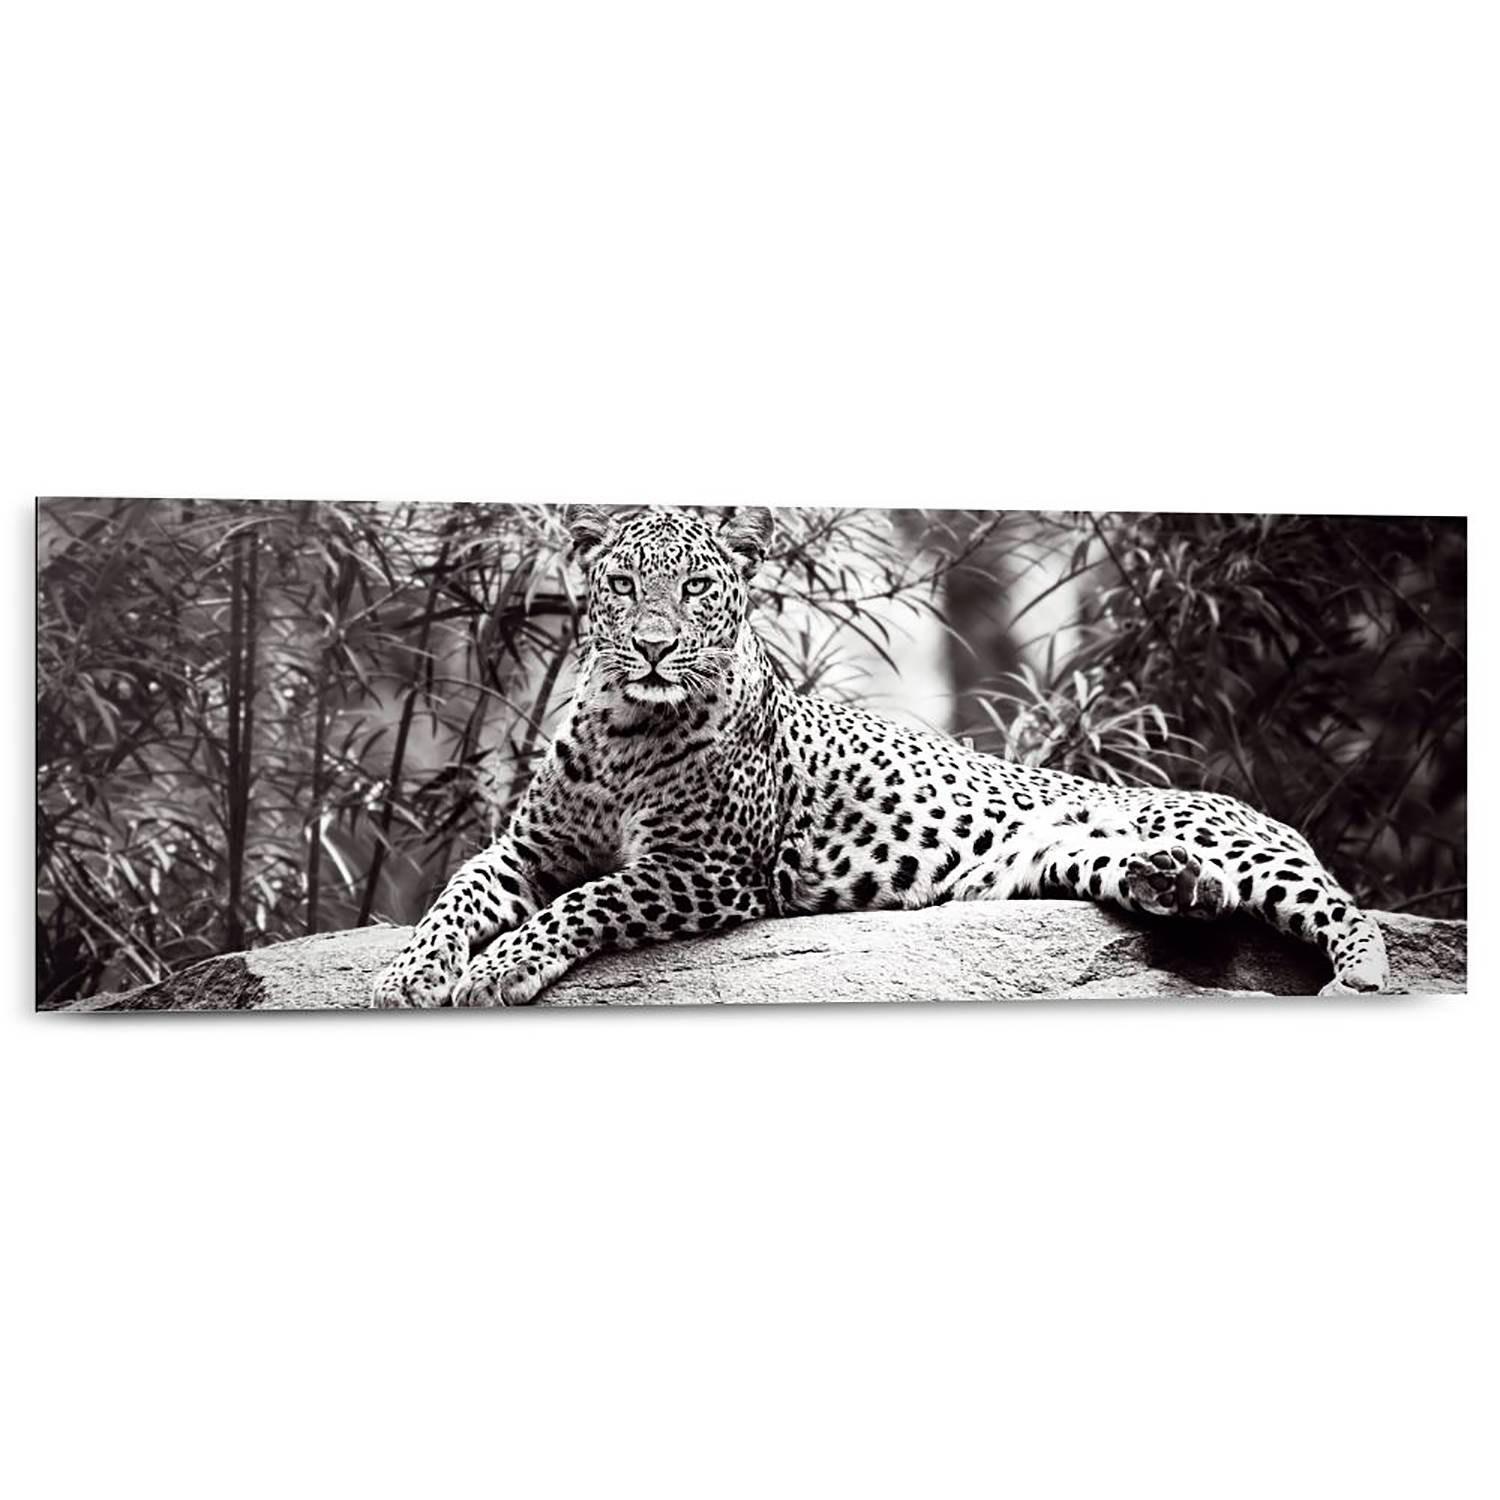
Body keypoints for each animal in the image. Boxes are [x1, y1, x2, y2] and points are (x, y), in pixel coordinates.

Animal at [370, 504, 1391, 1007]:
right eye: (621, 585)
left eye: (697, 588)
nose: (654, 647)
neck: (627, 728)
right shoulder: (527, 848)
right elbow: (460, 890)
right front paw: (409, 971)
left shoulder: (707, 871)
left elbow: (586, 902)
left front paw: (500, 966)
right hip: (1076, 861)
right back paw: (1172, 884)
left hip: (1237, 841)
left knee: (1346, 909)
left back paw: (1359, 977)